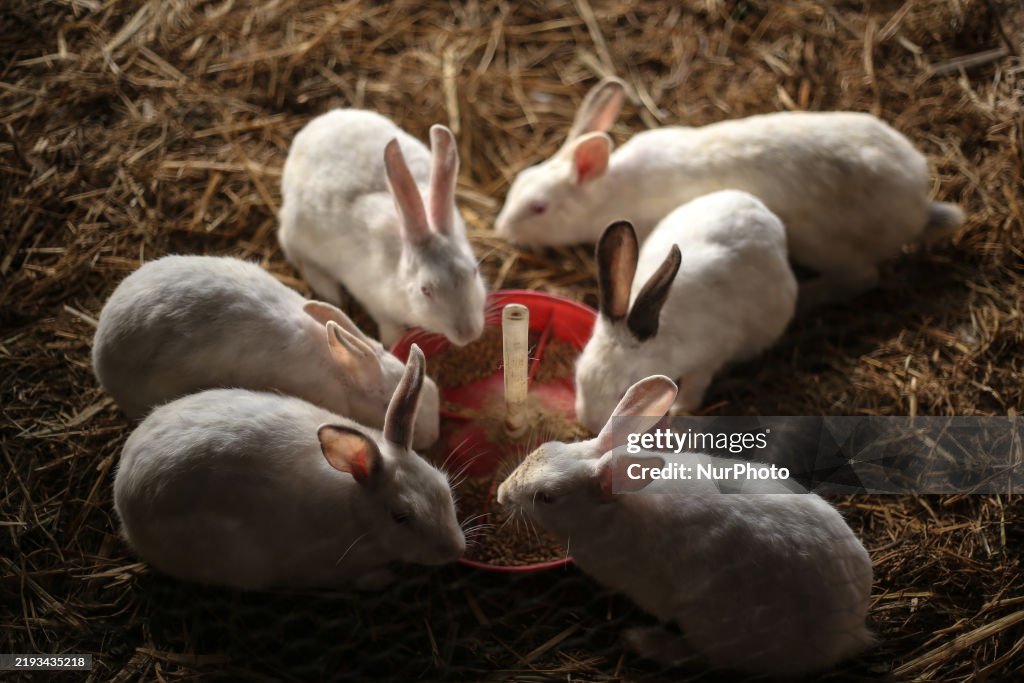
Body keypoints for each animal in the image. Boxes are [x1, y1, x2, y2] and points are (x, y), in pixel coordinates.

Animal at [113, 345, 466, 591]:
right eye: (401, 517)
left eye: (444, 488)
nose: (457, 549)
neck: (358, 513)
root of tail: (123, 498)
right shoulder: (322, 567)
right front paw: (385, 578)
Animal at [278, 109, 487, 346]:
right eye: (425, 290)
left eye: (474, 272)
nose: (469, 333)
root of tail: (306, 134)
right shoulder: (374, 301)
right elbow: (388, 326)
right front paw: (391, 341)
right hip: (297, 232)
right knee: (297, 255)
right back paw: (330, 292)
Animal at [495, 77, 964, 308]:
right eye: (519, 182)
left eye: (539, 208)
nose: (502, 231)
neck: (611, 189)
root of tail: (918, 205)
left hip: (828, 248)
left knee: (860, 278)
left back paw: (809, 298)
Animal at [496, 375, 875, 678]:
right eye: (545, 448)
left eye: (546, 497)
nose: (501, 494)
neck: (613, 509)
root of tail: (850, 630)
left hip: (711, 627)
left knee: (708, 661)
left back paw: (643, 641)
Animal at [574, 191, 798, 434]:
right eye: (579, 374)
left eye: (624, 392)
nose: (590, 425)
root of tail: (764, 212)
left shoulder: (709, 358)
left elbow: (694, 386)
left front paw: (679, 410)